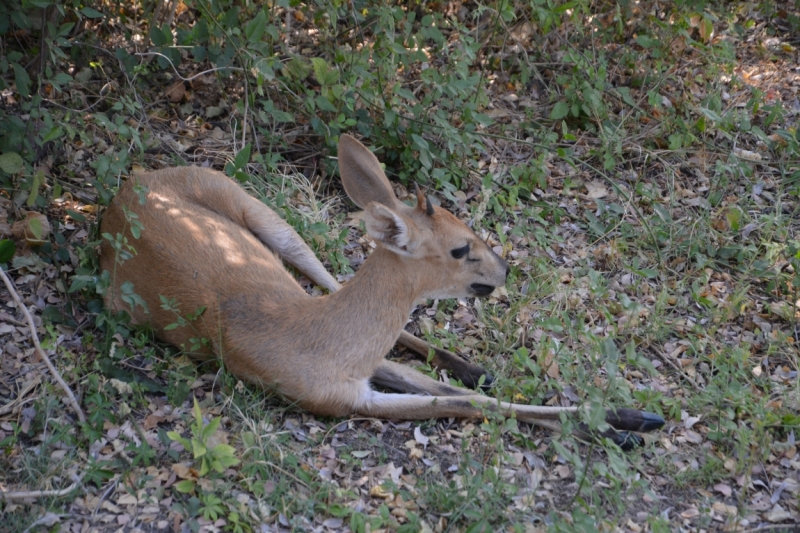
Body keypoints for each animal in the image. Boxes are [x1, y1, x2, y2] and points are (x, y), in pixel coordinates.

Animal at [100, 134, 664, 448]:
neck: (315, 337)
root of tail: (130, 185)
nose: (503, 271)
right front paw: (628, 426)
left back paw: (473, 365)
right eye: (460, 248)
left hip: (272, 223)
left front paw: (629, 418)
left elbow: (450, 389)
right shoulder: (348, 399)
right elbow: (459, 403)